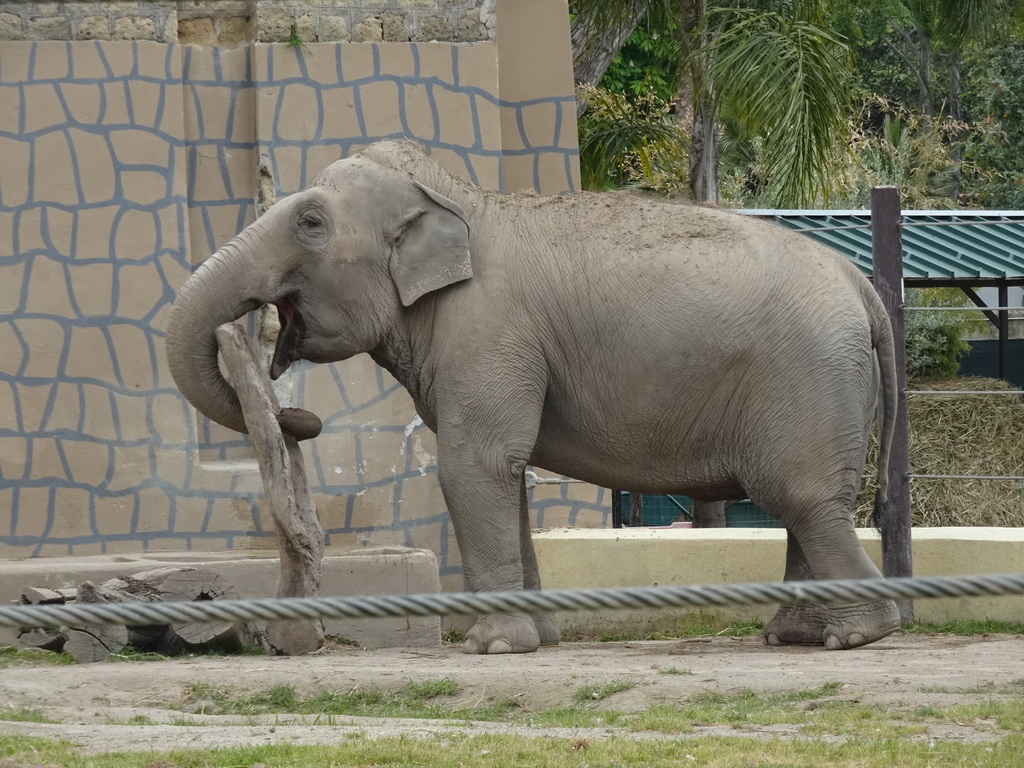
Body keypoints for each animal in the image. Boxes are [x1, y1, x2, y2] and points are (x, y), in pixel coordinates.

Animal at [165, 140, 897, 655]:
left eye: (311, 222)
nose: (300, 417)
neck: (459, 199)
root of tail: (862, 286)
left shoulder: (487, 329)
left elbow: (473, 465)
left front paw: (491, 647)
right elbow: (505, 474)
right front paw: (533, 642)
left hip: (808, 378)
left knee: (803, 499)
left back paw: (857, 635)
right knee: (804, 506)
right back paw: (797, 635)